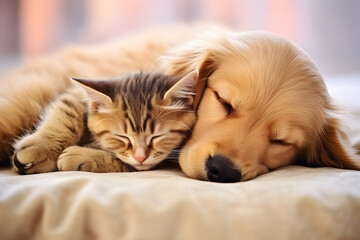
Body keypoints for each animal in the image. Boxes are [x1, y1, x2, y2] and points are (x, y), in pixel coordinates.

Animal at [12, 69, 200, 174]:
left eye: (157, 137)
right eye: (122, 137)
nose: (141, 157)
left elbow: (125, 162)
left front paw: (81, 157)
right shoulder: (76, 95)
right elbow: (67, 112)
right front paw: (42, 148)